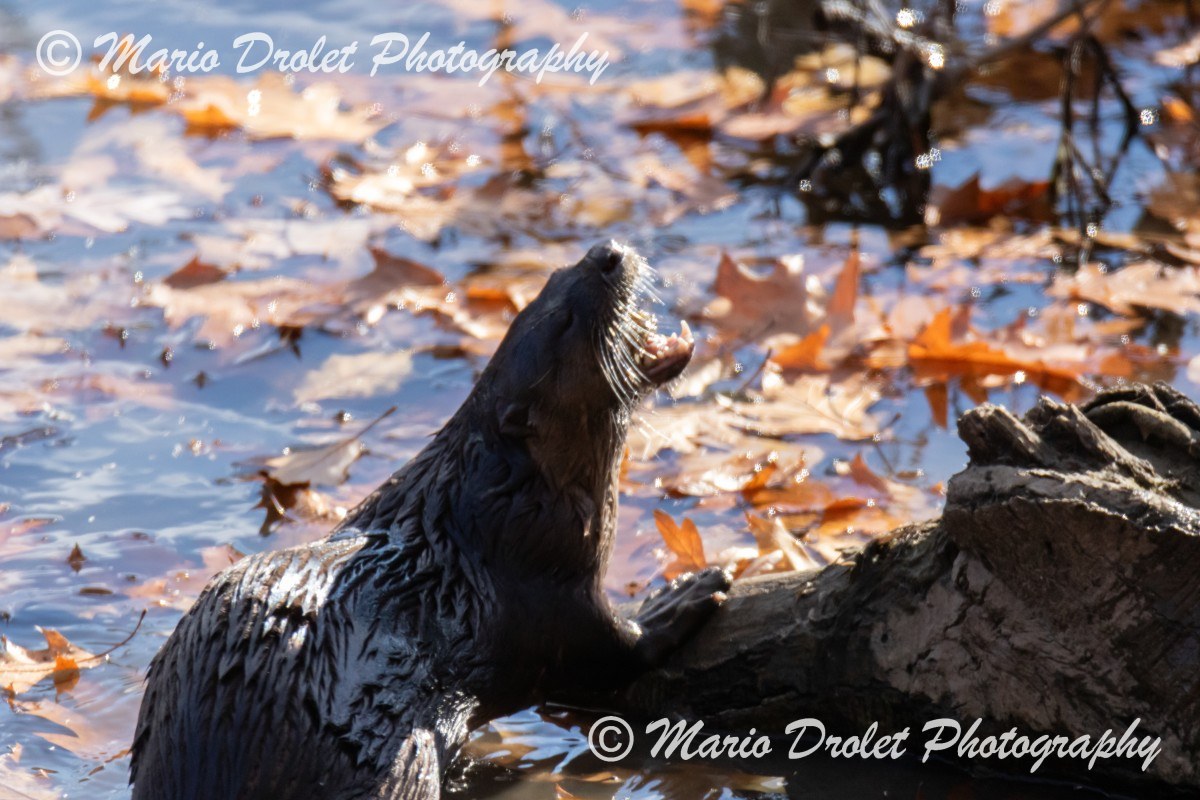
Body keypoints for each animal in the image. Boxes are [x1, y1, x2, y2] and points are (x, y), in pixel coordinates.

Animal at [129, 241, 731, 800]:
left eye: (553, 278)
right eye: (564, 320)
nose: (606, 253)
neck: (505, 510)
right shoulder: (548, 595)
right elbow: (609, 652)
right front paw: (681, 596)